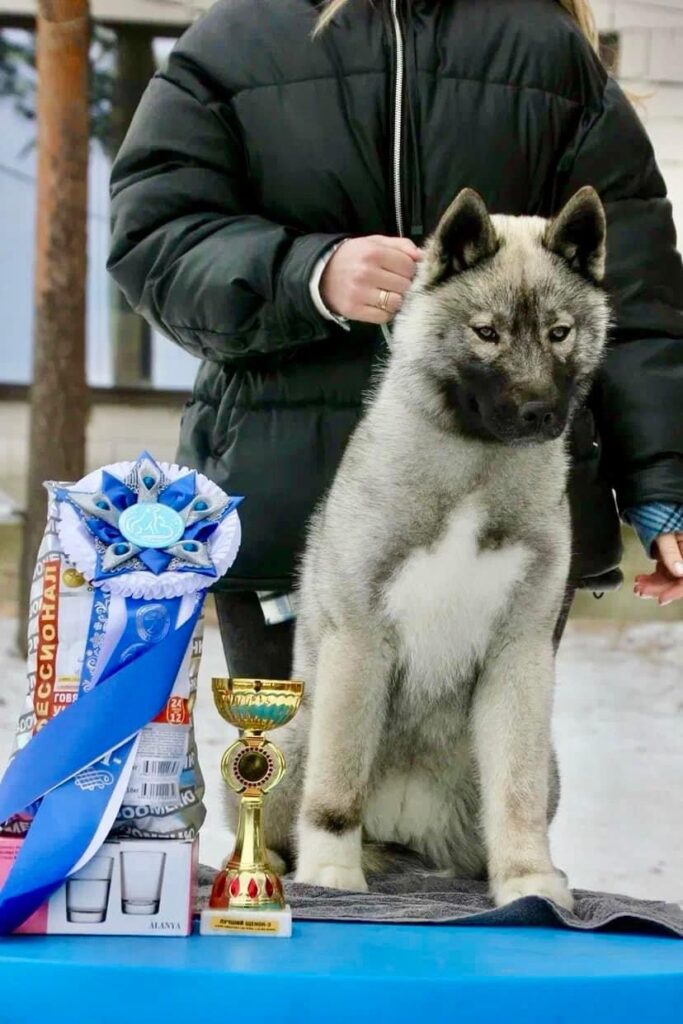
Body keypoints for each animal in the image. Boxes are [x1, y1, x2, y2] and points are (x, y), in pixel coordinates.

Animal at [246, 188, 610, 909]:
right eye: (486, 332)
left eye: (559, 333)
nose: (539, 412)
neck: (475, 469)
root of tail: (405, 832)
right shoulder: (360, 642)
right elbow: (337, 786)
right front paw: (331, 872)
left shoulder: (518, 656)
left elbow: (516, 794)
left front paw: (528, 879)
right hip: (292, 732)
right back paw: (274, 866)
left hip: (539, 768)